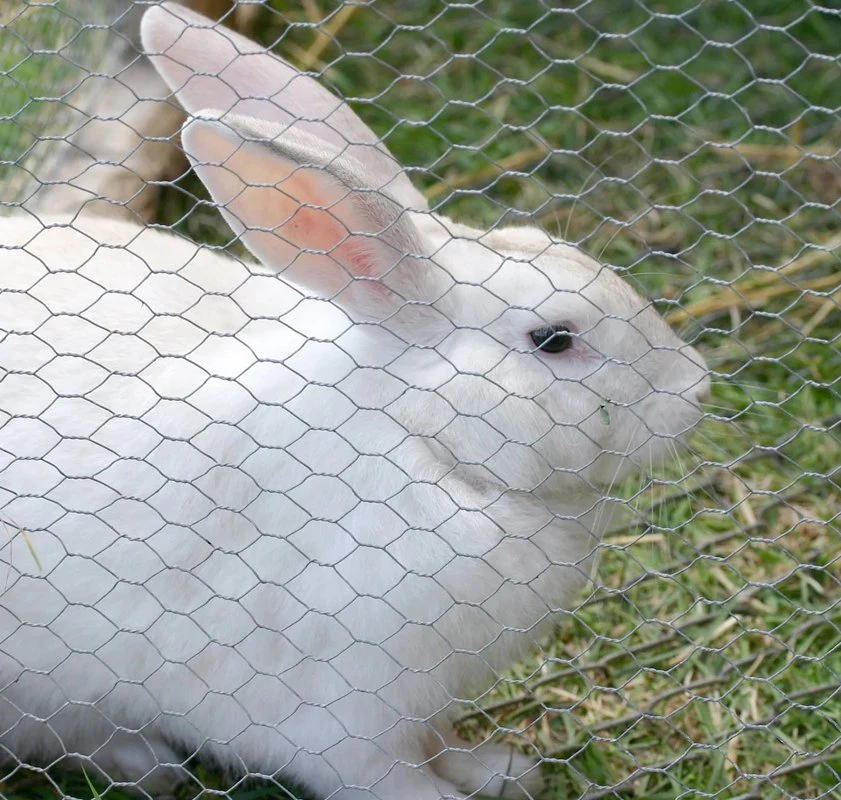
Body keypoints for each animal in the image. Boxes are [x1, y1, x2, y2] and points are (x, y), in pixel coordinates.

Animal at [0, 3, 708, 796]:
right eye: (554, 339)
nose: (695, 391)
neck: (423, 442)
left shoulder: (423, 701)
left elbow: (440, 743)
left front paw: (499, 770)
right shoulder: (338, 716)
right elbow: (390, 777)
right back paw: (142, 763)